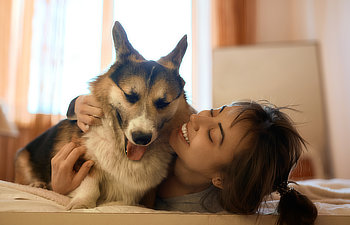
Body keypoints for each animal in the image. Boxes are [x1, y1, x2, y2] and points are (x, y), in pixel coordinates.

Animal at [14, 21, 194, 209]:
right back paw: (38, 184)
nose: (141, 138)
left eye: (163, 103)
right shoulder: (85, 158)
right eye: (130, 96)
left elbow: (137, 202)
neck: (124, 154)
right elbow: (90, 182)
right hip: (23, 158)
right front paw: (83, 203)